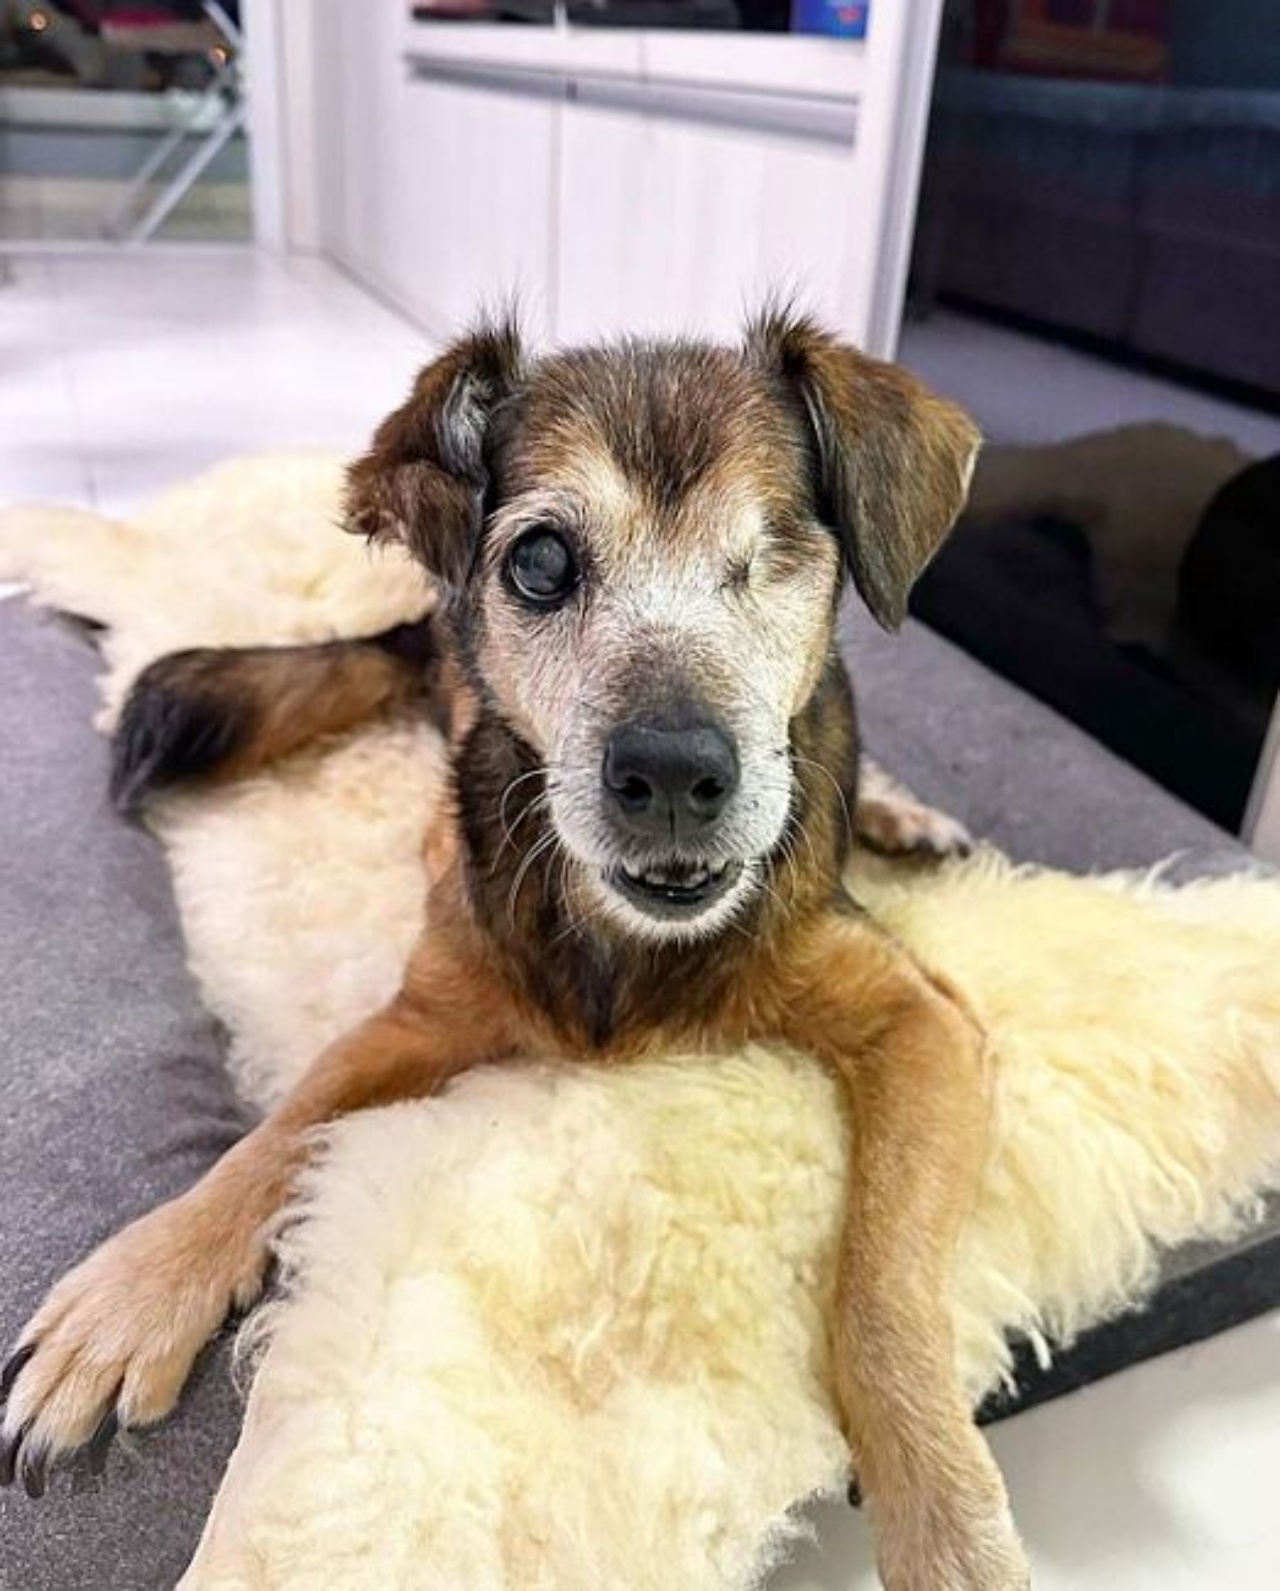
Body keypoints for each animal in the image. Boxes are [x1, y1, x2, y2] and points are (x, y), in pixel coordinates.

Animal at [0, 313, 1024, 1591]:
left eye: (771, 554)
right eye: (539, 563)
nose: (675, 775)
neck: (628, 941)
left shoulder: (916, 1020)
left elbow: (885, 1284)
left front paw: (942, 1512)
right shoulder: (423, 1013)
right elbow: (273, 1136)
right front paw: (133, 1293)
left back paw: (896, 808)